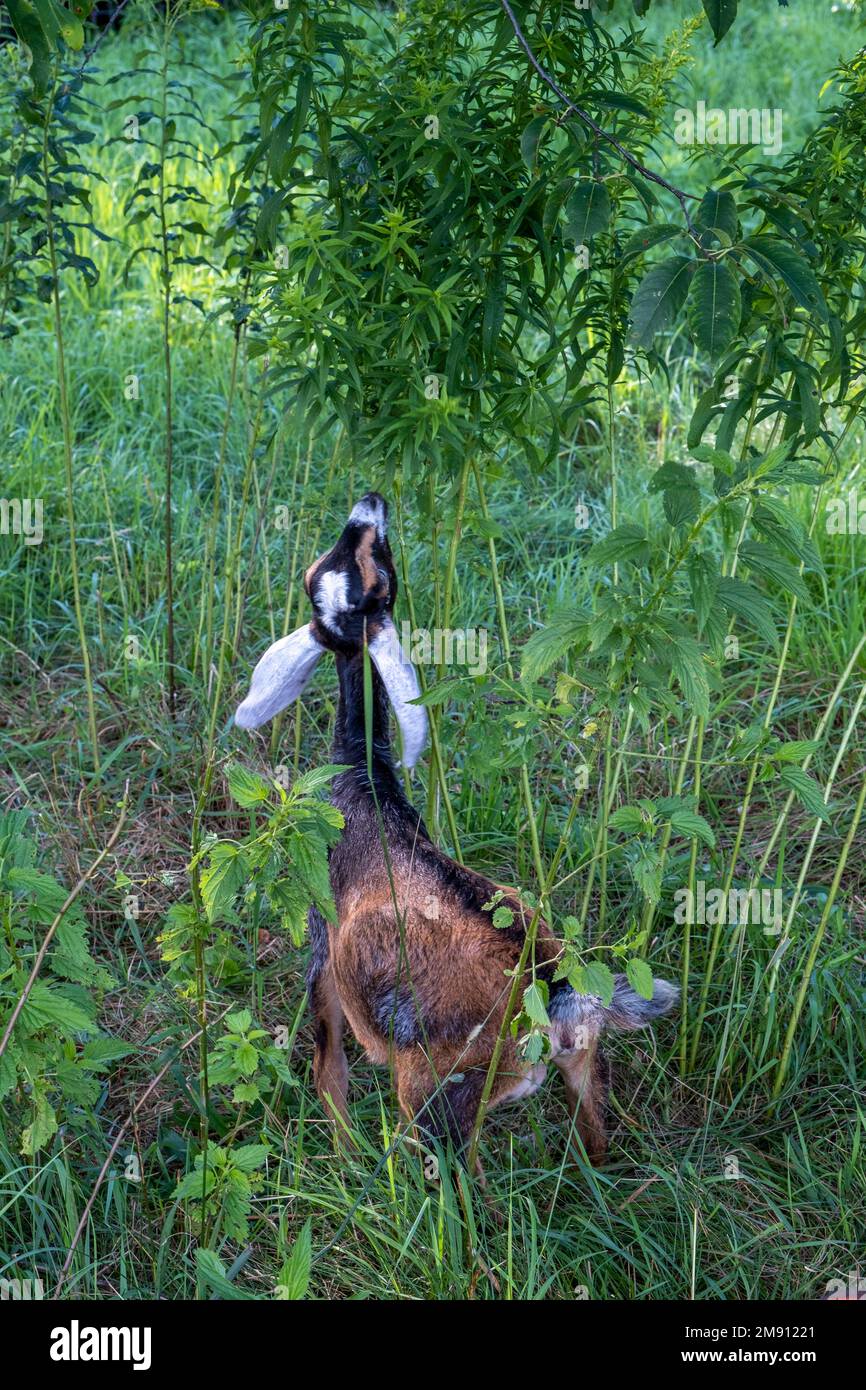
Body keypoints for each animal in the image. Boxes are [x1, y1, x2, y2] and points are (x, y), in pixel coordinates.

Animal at [237, 494, 678, 1167]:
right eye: (381, 568)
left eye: (349, 565)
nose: (370, 504)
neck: (367, 789)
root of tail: (555, 994)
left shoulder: (321, 945)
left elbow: (327, 1064)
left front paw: (343, 1155)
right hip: (580, 1067)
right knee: (596, 1136)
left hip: (436, 1100)